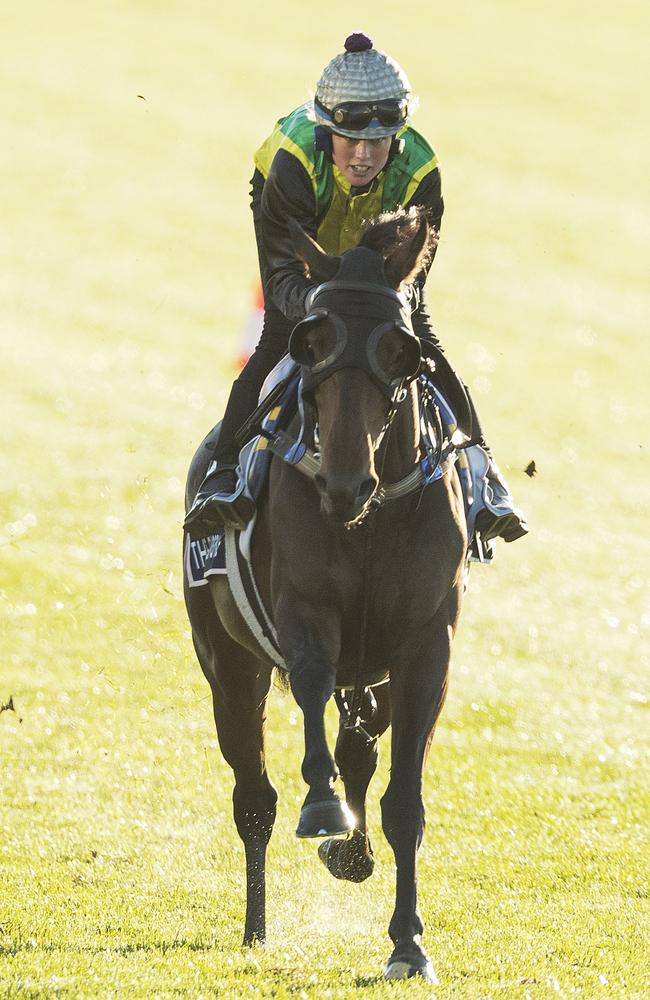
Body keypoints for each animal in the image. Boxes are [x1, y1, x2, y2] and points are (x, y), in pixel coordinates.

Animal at [182, 205, 466, 984]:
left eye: (402, 352)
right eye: (309, 344)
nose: (345, 484)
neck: (368, 521)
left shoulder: (425, 645)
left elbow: (403, 801)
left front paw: (408, 942)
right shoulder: (304, 611)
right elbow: (310, 692)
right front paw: (323, 808)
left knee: (361, 743)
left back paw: (353, 853)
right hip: (227, 663)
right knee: (254, 797)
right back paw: (257, 925)